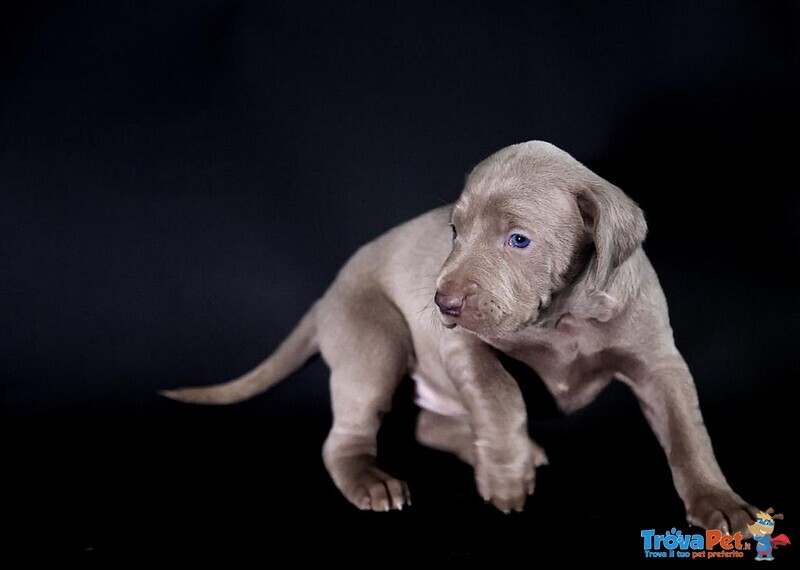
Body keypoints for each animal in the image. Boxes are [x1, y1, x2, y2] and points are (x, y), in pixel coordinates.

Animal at [164, 140, 756, 532]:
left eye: (518, 240)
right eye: (454, 230)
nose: (443, 303)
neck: (563, 316)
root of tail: (325, 297)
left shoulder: (659, 361)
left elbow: (687, 432)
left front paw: (719, 501)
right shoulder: (465, 345)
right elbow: (502, 393)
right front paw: (506, 477)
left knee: (427, 423)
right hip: (374, 342)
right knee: (346, 436)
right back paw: (375, 480)